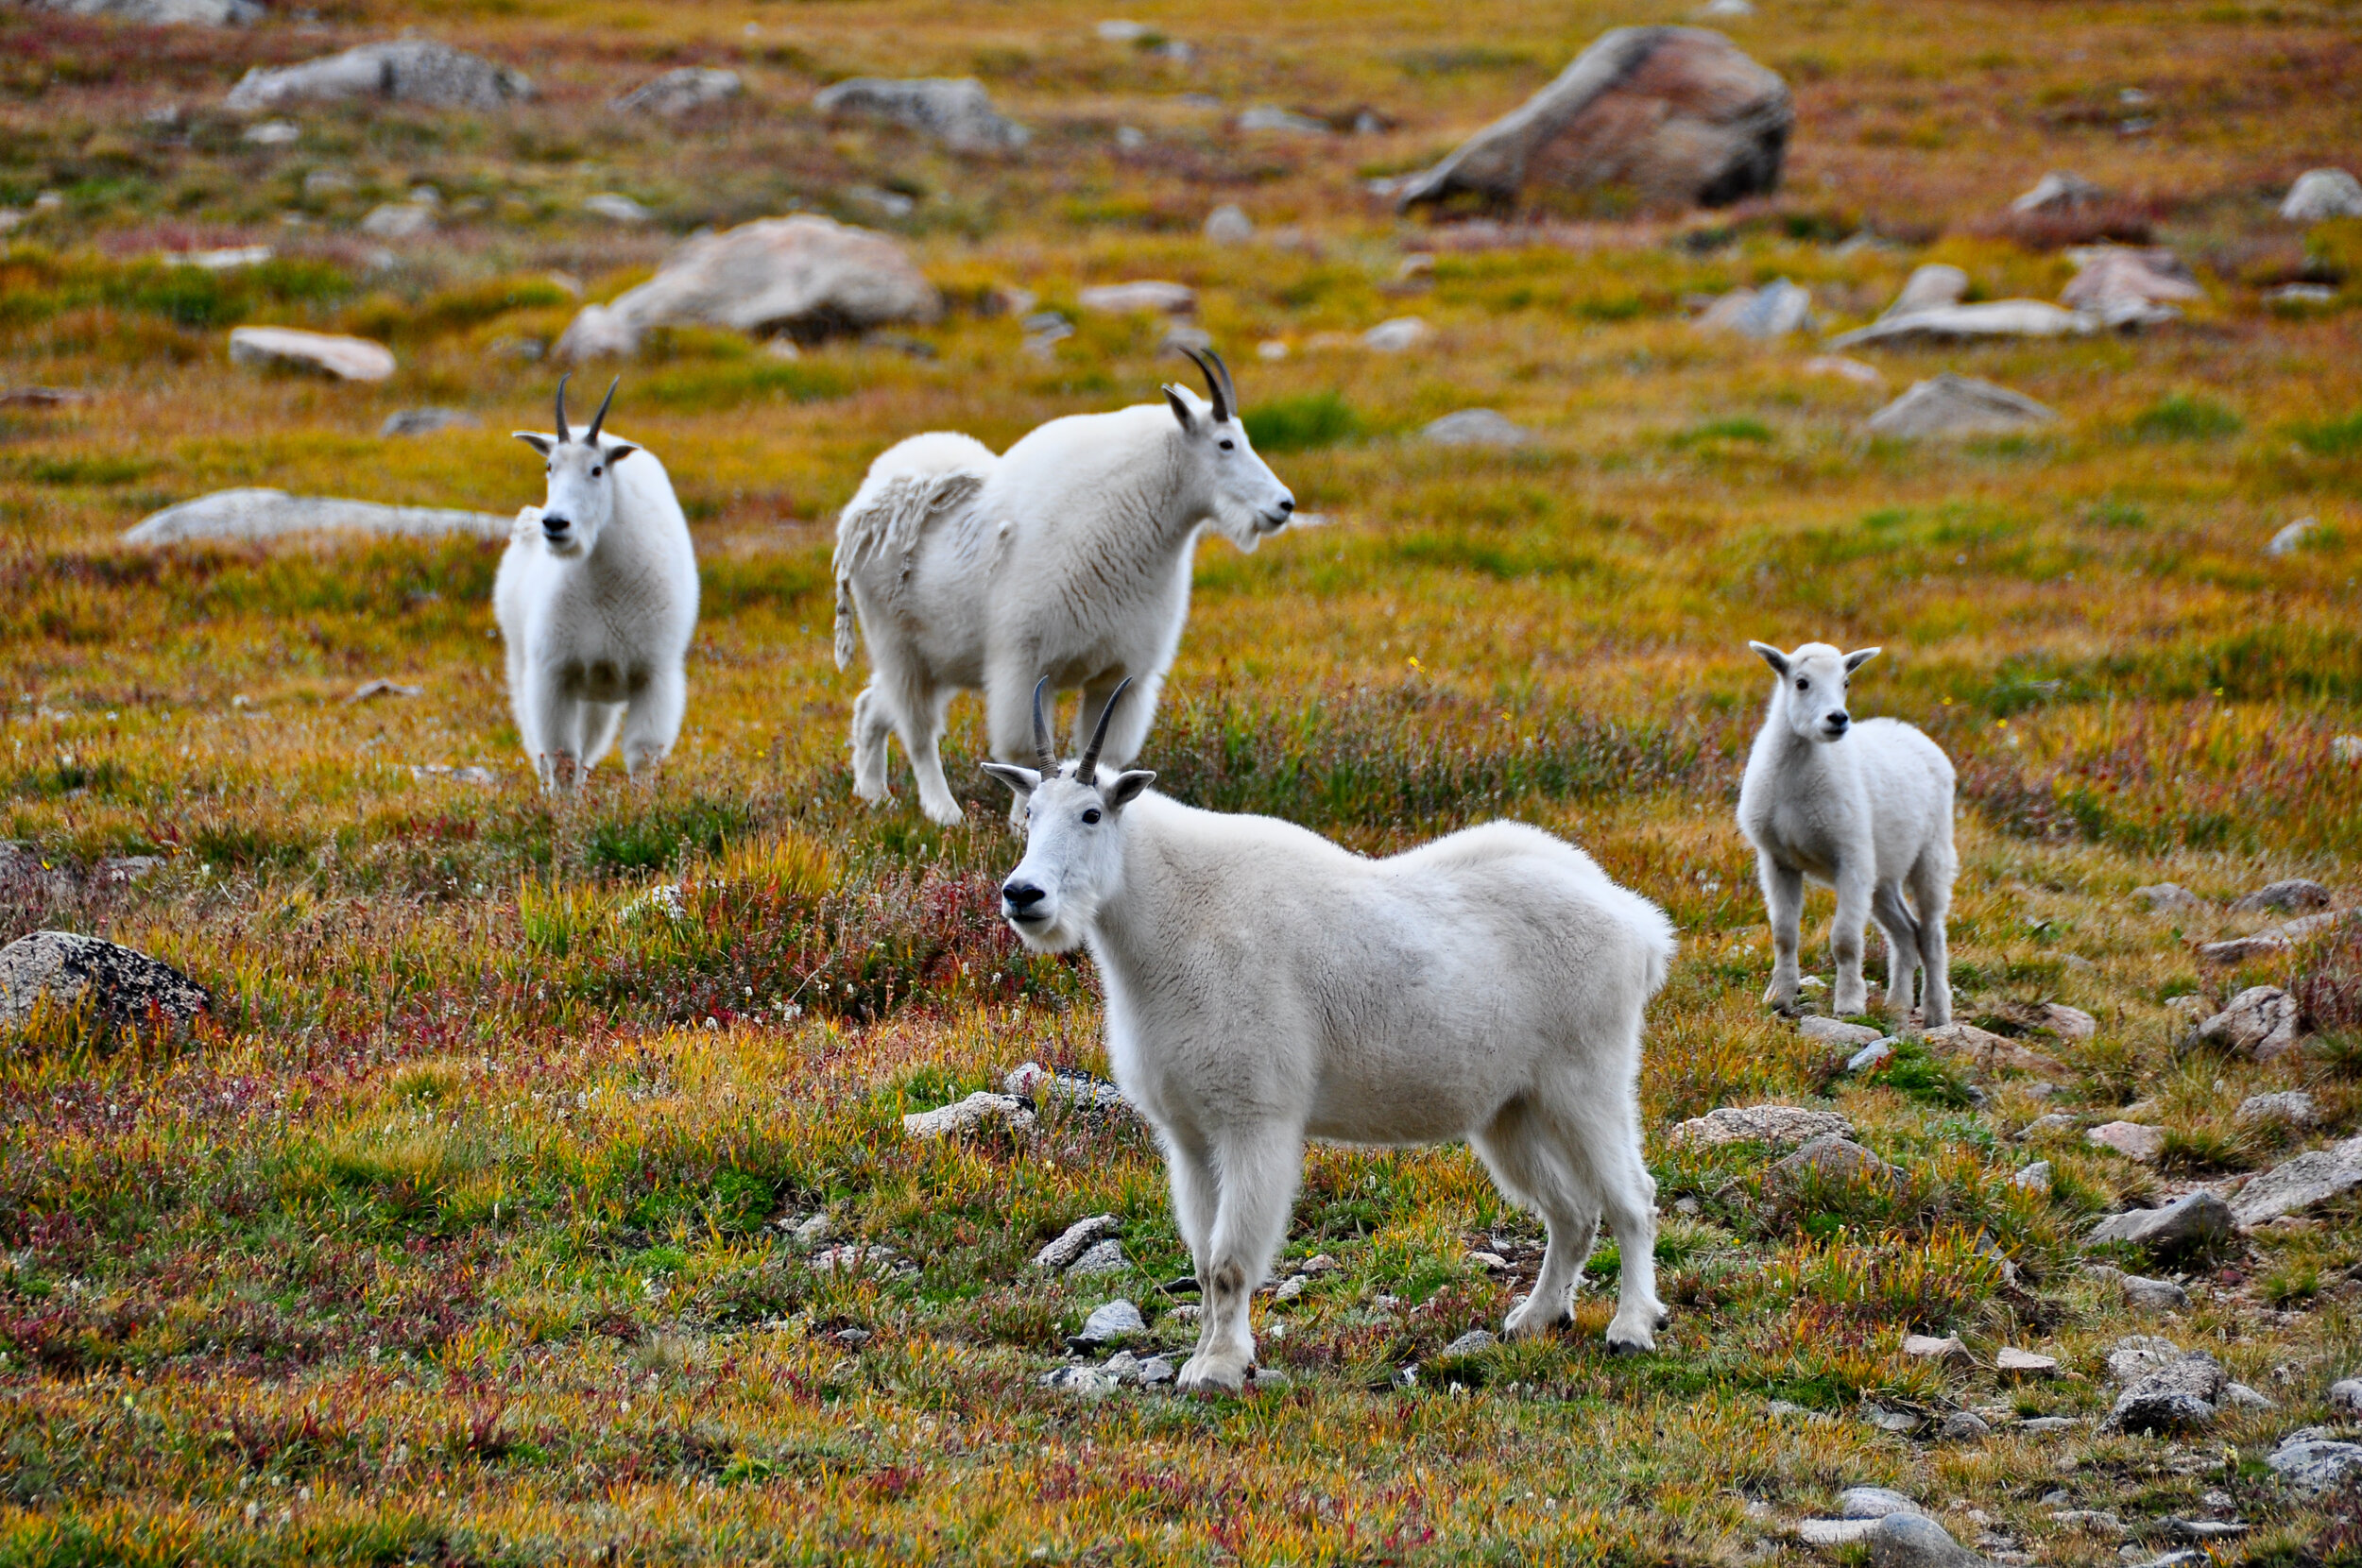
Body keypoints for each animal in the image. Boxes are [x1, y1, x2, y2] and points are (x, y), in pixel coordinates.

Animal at [496, 377, 698, 790]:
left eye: (596, 470)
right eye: (549, 466)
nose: (555, 524)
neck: (606, 583)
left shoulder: (654, 674)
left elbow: (641, 755)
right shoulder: (552, 673)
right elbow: (561, 757)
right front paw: (562, 809)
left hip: (594, 698)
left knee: (588, 749)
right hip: (524, 663)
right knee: (546, 754)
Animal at [833, 347, 1295, 826]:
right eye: (1225, 443)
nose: (1284, 505)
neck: (1132, 518)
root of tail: (862, 505)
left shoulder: (1120, 673)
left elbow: (1107, 755)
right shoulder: (1024, 660)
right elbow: (1023, 751)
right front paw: (1021, 823)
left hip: (939, 657)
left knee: (871, 706)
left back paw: (873, 796)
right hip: (897, 645)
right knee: (919, 731)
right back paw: (944, 812)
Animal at [986, 682, 1676, 1392]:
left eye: (1092, 814)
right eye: (1030, 812)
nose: (1023, 894)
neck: (1168, 923)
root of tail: (1638, 924)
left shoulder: (1255, 1118)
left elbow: (1231, 1262)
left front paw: (1222, 1369)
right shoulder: (1190, 1134)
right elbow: (1203, 1263)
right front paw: (1202, 1358)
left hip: (1587, 1081)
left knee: (1633, 1200)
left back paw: (1631, 1328)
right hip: (1512, 1108)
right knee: (1572, 1212)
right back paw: (1535, 1318)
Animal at [1737, 641, 1955, 1026]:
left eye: (1846, 682)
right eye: (1801, 682)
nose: (1838, 718)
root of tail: (1913, 732)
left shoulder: (1851, 856)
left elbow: (1845, 939)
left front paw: (1850, 1003)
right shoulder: (1777, 859)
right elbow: (1784, 933)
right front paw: (1779, 997)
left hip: (1932, 852)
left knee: (1931, 934)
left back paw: (1936, 1011)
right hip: (1882, 872)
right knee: (1905, 931)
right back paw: (1897, 1003)